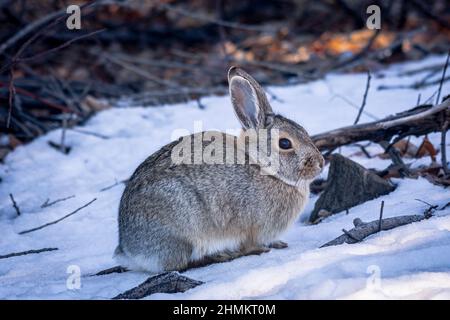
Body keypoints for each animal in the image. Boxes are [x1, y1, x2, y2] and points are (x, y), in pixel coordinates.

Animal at [113, 66, 324, 272]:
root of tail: (127, 249)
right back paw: (222, 256)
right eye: (285, 143)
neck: (261, 165)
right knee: (179, 264)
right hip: (181, 232)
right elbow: (249, 242)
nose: (320, 163)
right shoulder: (250, 227)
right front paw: (261, 248)